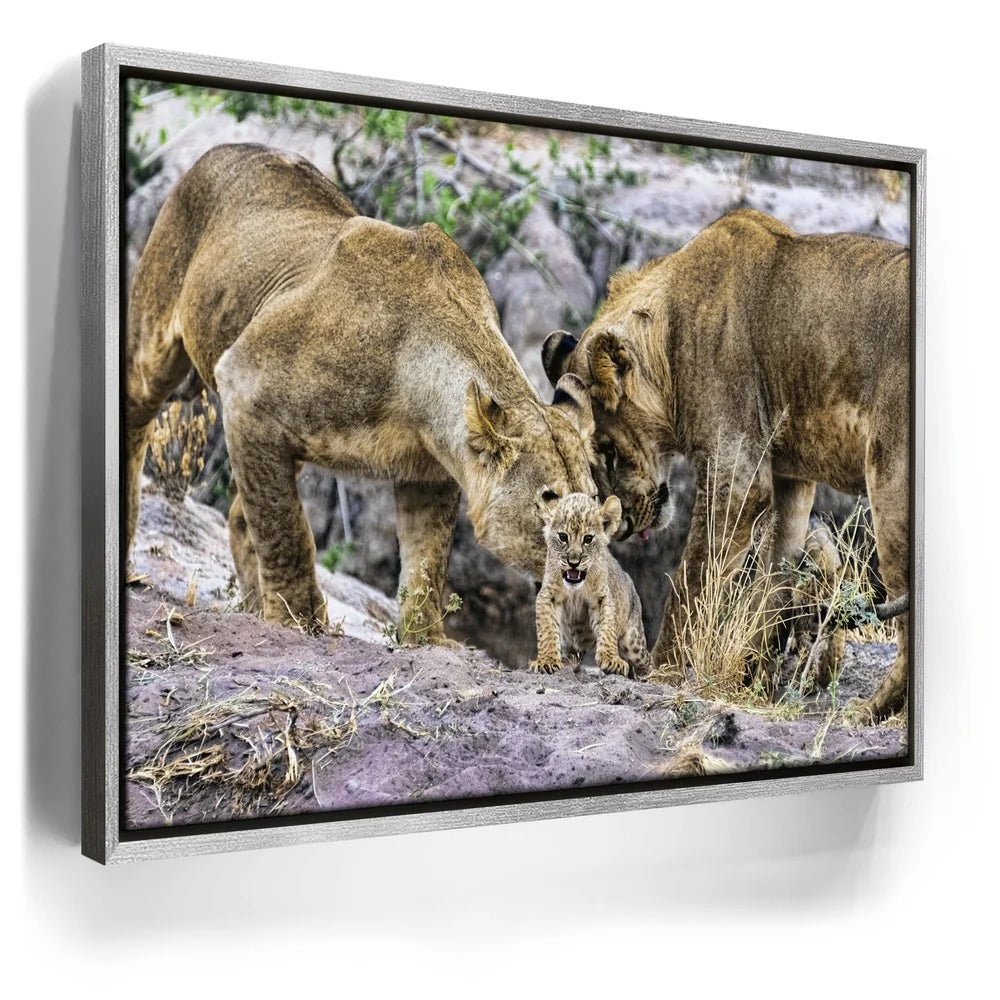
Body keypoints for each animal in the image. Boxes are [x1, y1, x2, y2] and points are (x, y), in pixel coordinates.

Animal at [127, 143, 597, 641]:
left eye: (597, 510)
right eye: (551, 506)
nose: (584, 566)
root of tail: (226, 148)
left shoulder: (430, 472)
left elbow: (427, 562)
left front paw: (426, 640)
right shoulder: (244, 384)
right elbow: (285, 531)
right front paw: (299, 621)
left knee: (239, 514)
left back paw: (252, 607)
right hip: (157, 343)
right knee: (136, 419)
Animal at [530, 492, 650, 678]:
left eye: (588, 539)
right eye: (563, 537)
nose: (573, 563)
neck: (575, 589)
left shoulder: (602, 597)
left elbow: (607, 628)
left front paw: (611, 660)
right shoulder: (548, 595)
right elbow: (547, 630)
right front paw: (547, 661)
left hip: (634, 642)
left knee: (647, 662)